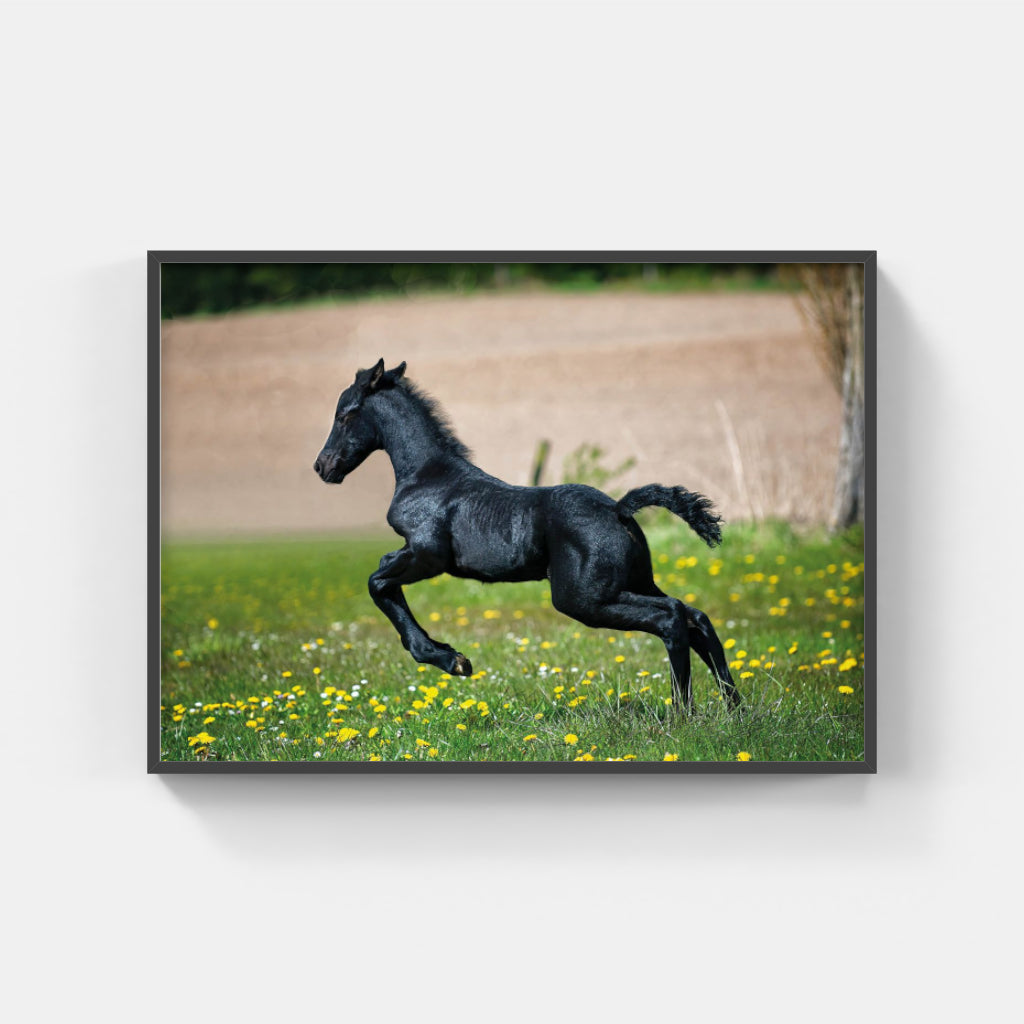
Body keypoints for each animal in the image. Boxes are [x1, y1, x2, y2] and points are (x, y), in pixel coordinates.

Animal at [314, 359, 740, 713]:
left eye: (344, 415)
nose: (322, 466)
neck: (428, 476)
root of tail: (619, 509)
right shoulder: (414, 554)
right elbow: (384, 577)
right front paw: (449, 655)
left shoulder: (427, 555)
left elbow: (377, 581)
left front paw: (451, 660)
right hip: (632, 582)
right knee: (695, 616)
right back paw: (734, 708)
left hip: (584, 598)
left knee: (671, 616)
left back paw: (682, 712)